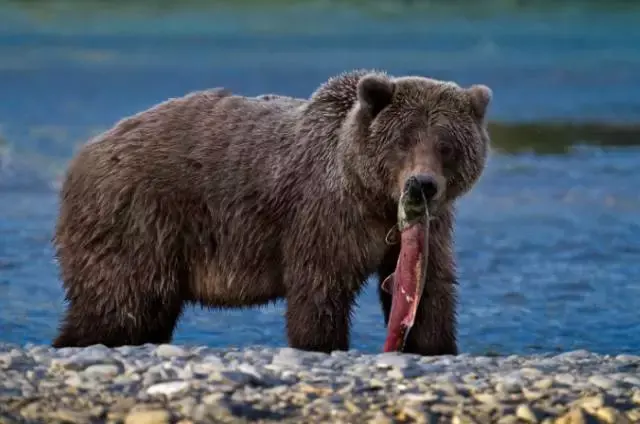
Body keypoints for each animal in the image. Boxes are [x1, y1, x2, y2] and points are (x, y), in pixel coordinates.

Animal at [51, 68, 490, 354]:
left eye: (447, 145)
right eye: (403, 140)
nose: (422, 185)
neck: (371, 196)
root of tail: (84, 155)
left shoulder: (427, 227)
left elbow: (432, 289)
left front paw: (434, 345)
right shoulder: (323, 213)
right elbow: (319, 289)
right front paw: (321, 342)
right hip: (138, 218)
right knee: (119, 303)